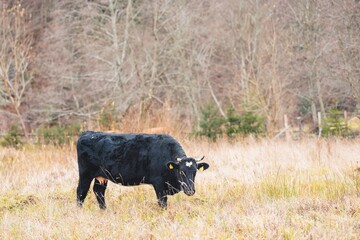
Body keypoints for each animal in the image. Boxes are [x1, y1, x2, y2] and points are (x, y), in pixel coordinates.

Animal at [77, 131, 210, 208]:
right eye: (181, 172)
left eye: (195, 172)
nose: (190, 191)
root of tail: (88, 133)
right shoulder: (159, 183)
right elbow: (162, 202)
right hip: (85, 174)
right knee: (81, 192)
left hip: (101, 176)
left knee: (99, 191)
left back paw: (104, 210)